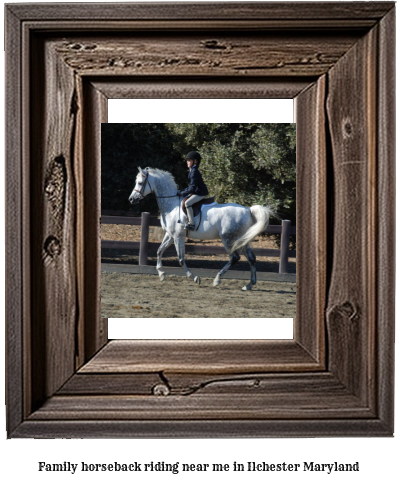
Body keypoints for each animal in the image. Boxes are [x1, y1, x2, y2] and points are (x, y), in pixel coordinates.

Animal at [130, 168, 274, 290]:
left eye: (140, 182)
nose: (131, 199)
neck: (171, 206)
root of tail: (248, 210)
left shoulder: (178, 236)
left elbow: (181, 259)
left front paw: (195, 278)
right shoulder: (170, 235)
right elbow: (159, 251)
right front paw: (161, 273)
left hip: (228, 239)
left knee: (234, 258)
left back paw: (217, 280)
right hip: (242, 239)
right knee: (251, 258)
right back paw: (249, 285)